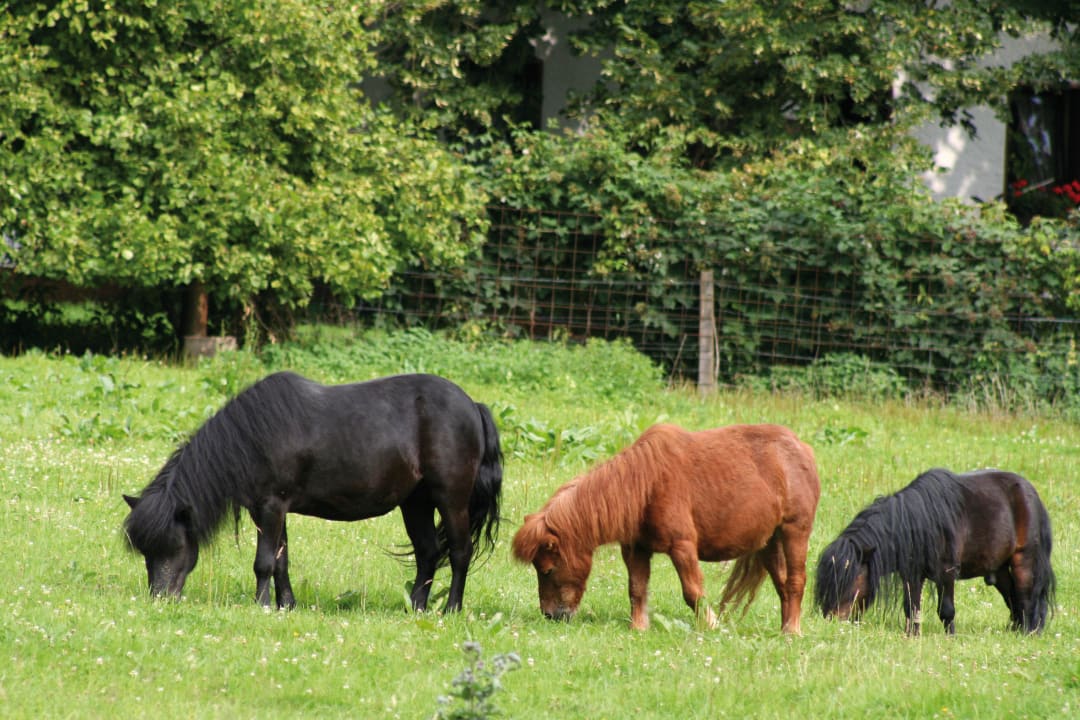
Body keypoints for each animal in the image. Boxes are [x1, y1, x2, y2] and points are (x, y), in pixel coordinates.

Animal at [123, 371, 502, 613]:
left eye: (174, 546)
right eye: (144, 551)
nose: (160, 598)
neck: (251, 437)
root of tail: (472, 405)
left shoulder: (271, 505)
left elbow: (264, 562)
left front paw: (262, 605)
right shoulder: (270, 509)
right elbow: (281, 560)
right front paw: (286, 605)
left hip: (450, 499)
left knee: (460, 553)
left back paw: (451, 609)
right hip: (416, 503)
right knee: (427, 553)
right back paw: (416, 608)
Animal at [511, 423, 821, 633]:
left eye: (547, 570)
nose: (551, 615)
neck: (646, 486)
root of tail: (802, 449)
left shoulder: (681, 546)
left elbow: (692, 592)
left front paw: (711, 625)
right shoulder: (635, 550)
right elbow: (636, 589)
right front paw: (639, 628)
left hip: (795, 532)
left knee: (796, 581)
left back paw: (792, 632)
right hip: (769, 542)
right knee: (782, 584)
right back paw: (784, 628)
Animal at [814, 468, 1055, 635]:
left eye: (851, 580)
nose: (830, 619)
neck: (921, 521)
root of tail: (1031, 493)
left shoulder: (946, 572)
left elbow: (946, 610)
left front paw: (950, 637)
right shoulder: (911, 575)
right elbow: (911, 608)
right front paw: (911, 636)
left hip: (1024, 560)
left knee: (1026, 598)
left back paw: (1028, 632)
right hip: (999, 570)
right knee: (1013, 600)